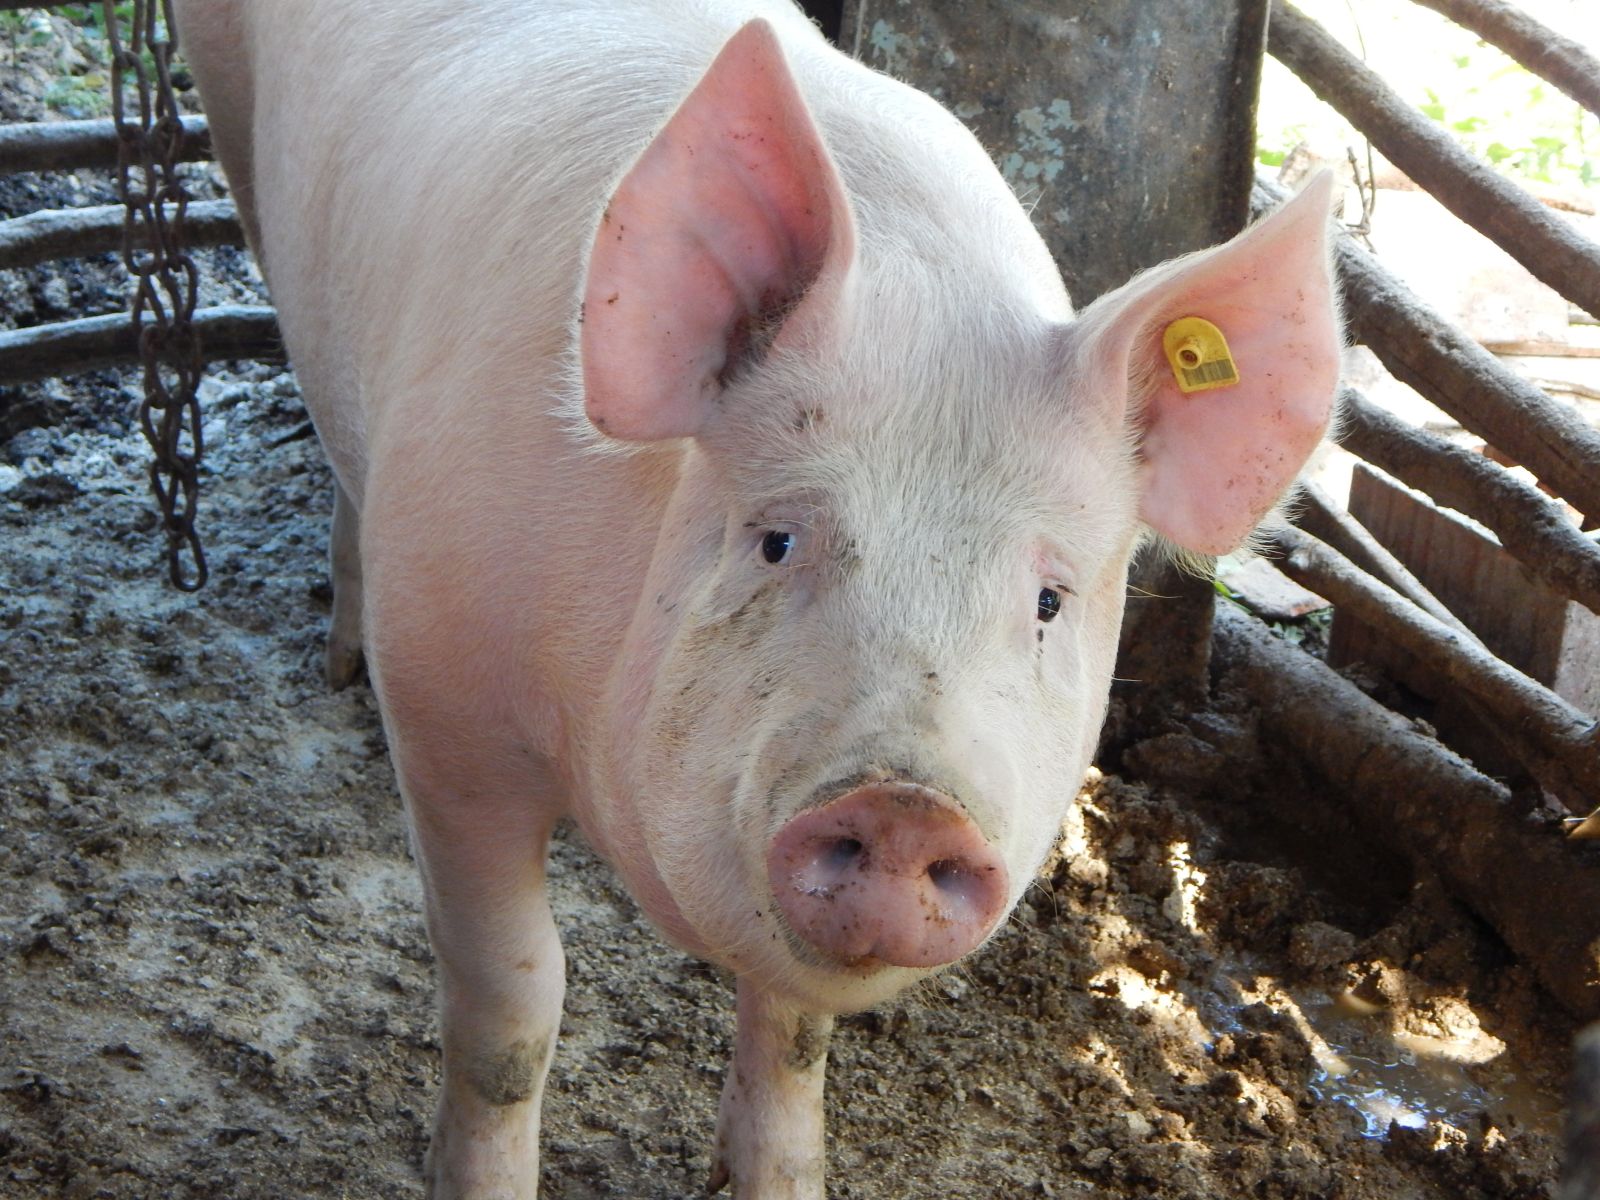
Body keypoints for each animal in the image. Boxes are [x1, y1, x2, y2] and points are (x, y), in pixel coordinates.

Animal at [172, 4, 1337, 1196]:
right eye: (777, 540)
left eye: (1050, 601)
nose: (905, 804)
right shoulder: (446, 712)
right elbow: (511, 1003)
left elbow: (793, 1036)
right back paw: (337, 668)